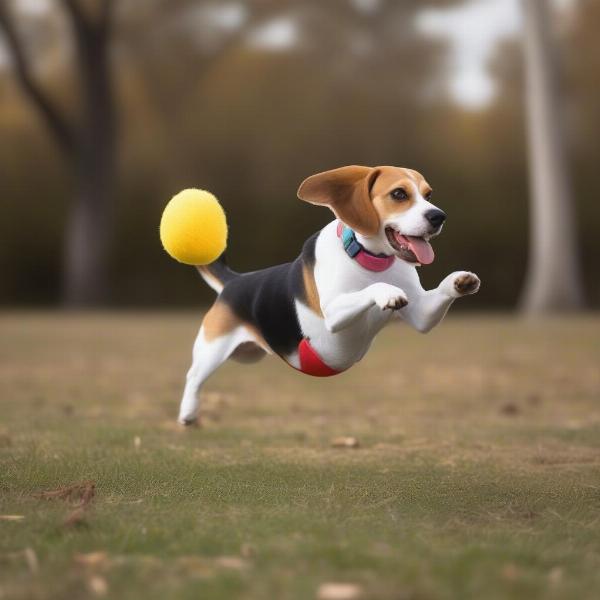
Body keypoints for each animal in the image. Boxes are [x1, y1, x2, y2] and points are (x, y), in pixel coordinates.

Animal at [177, 166, 478, 424]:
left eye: (428, 195)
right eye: (399, 194)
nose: (438, 216)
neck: (370, 259)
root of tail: (234, 281)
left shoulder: (421, 314)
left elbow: (438, 295)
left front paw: (462, 280)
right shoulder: (332, 314)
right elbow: (371, 290)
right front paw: (387, 292)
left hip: (246, 354)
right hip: (212, 348)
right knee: (193, 376)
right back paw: (188, 412)